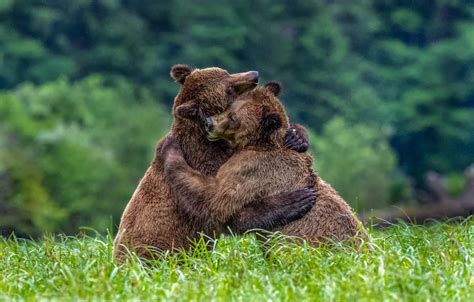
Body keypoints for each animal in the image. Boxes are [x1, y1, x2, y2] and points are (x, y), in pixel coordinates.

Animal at [113, 65, 316, 258]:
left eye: (226, 72)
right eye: (229, 89)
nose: (254, 75)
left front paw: (296, 138)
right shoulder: (208, 164)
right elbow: (221, 206)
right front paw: (294, 201)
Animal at [161, 81, 368, 247]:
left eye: (234, 118)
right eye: (228, 108)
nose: (209, 124)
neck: (259, 143)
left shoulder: (252, 167)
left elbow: (215, 197)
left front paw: (171, 149)